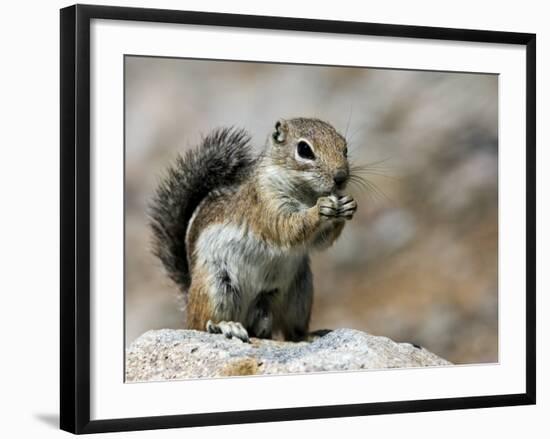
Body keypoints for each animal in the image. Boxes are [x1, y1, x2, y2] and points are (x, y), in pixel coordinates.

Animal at [150, 119, 358, 344]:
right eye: (304, 150)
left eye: (345, 148)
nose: (341, 177)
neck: (306, 194)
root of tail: (188, 295)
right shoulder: (266, 204)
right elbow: (287, 228)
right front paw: (320, 209)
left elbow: (320, 242)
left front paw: (348, 205)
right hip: (216, 286)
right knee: (201, 323)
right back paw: (225, 326)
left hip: (299, 293)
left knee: (289, 331)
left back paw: (306, 335)